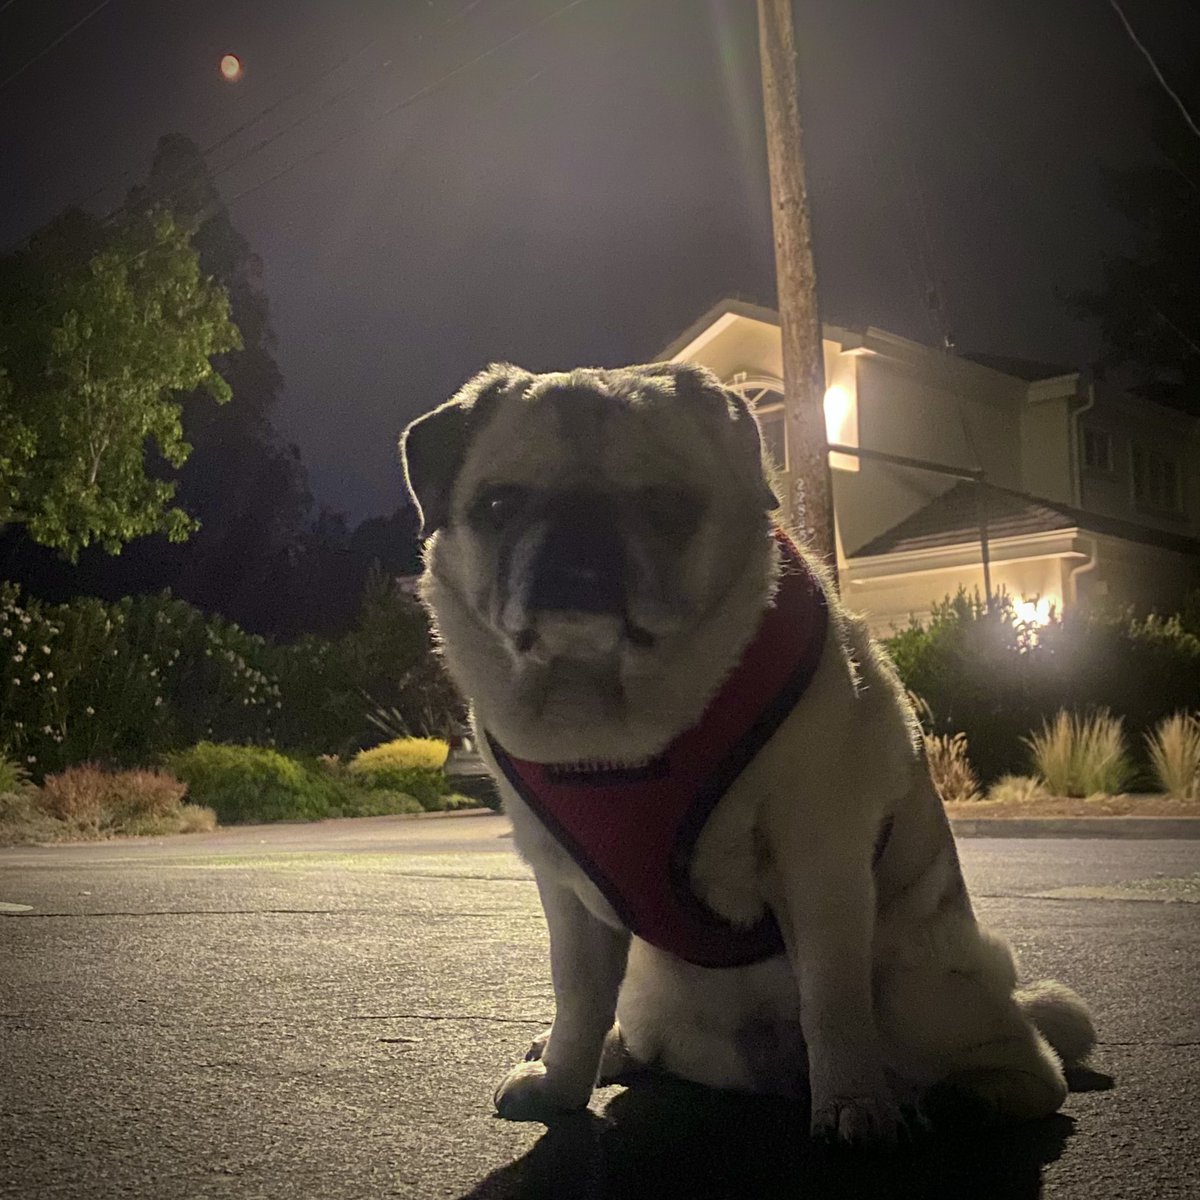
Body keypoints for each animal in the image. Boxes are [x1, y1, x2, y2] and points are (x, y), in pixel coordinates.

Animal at [403, 360, 1099, 1147]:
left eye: (669, 506)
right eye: (497, 504)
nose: (579, 537)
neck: (608, 721)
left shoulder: (819, 861)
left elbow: (832, 999)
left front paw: (853, 1106)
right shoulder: (569, 895)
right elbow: (577, 997)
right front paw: (560, 1080)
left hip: (918, 983)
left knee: (1031, 1064)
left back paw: (964, 1097)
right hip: (651, 979)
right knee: (634, 1028)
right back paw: (610, 1051)